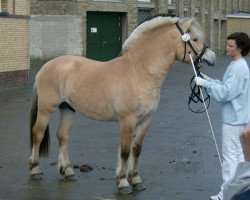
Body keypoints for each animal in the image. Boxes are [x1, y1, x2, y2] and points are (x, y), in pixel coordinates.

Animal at [29, 14, 216, 194]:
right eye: (194, 39)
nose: (212, 58)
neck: (140, 72)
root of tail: (46, 66)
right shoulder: (128, 120)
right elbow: (125, 151)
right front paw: (123, 183)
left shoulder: (145, 120)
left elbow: (136, 149)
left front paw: (136, 180)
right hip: (46, 109)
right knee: (37, 134)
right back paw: (35, 170)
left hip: (68, 109)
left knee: (62, 136)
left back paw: (68, 171)